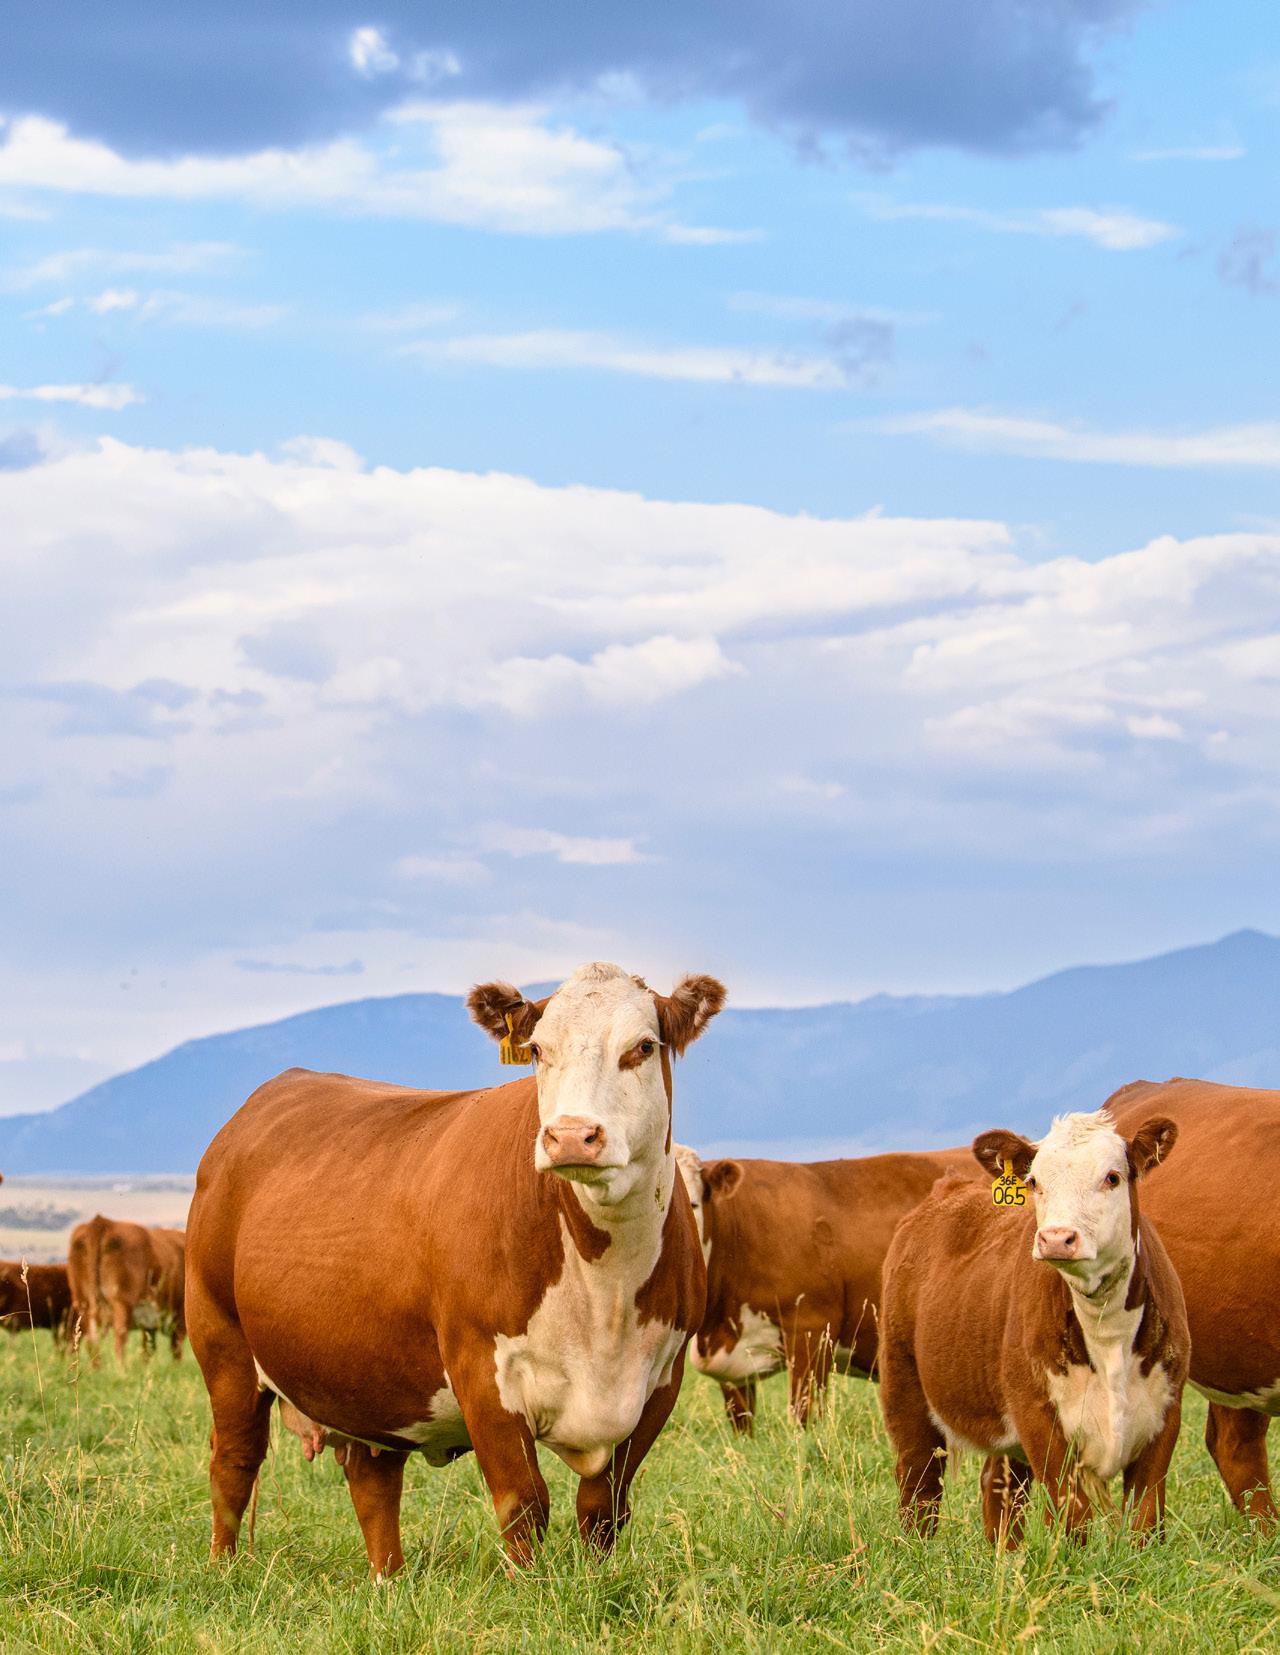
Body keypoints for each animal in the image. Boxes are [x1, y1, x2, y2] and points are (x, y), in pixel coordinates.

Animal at [67, 1216, 186, 1365]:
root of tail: (102, 1222)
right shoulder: (180, 1316)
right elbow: (175, 1348)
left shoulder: (149, 1322)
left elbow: (147, 1348)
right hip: (122, 1302)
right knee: (120, 1337)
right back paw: (122, 1368)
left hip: (82, 1302)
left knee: (92, 1340)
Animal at [185, 962, 722, 1576]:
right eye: (538, 1050)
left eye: (643, 1046)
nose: (570, 1136)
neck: (605, 1292)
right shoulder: (481, 1370)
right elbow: (523, 1504)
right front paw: (531, 1588)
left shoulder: (661, 1379)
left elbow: (603, 1507)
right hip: (221, 1341)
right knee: (234, 1461)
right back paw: (224, 1570)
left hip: (367, 1370)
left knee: (372, 1478)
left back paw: (388, 1581)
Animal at [880, 1108, 1189, 1545]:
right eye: (1034, 1181)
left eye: (1112, 1177)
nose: (1057, 1238)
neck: (1107, 1332)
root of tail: (948, 1188)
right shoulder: (1037, 1414)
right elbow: (1072, 1514)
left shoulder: (1166, 1412)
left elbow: (1145, 1518)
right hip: (902, 1382)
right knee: (919, 1479)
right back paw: (916, 1547)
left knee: (999, 1485)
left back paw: (1006, 1554)